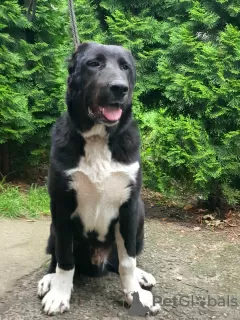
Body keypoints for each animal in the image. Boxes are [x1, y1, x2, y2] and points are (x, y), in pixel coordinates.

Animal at [37, 42, 160, 316]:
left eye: (125, 67)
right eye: (94, 64)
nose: (119, 88)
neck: (98, 137)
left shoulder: (129, 206)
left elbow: (127, 261)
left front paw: (134, 293)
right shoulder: (61, 204)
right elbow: (65, 258)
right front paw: (59, 294)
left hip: (141, 216)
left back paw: (142, 276)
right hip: (52, 225)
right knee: (55, 256)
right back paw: (49, 279)